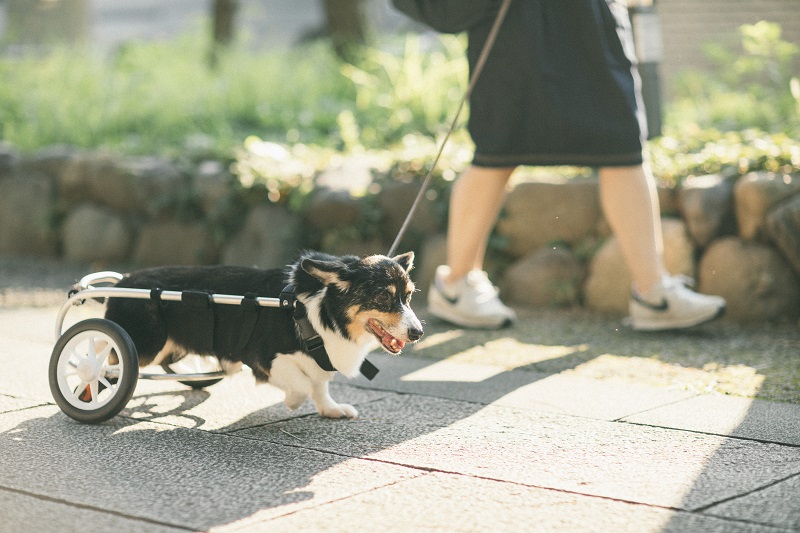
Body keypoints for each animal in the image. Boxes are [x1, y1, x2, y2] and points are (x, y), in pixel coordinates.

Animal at [103, 251, 423, 418]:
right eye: (382, 297)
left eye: (408, 296)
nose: (418, 333)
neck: (319, 309)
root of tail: (124, 280)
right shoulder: (265, 358)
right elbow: (302, 385)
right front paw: (293, 403)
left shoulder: (320, 361)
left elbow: (320, 385)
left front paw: (331, 409)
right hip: (144, 345)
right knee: (106, 361)